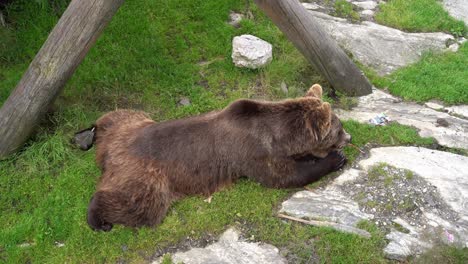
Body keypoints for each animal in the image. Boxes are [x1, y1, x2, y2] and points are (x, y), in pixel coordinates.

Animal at [85, 84, 352, 231]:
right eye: (338, 129)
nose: (348, 137)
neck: (279, 135)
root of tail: (111, 153)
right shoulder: (254, 152)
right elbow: (284, 176)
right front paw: (334, 159)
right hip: (148, 175)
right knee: (141, 206)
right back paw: (98, 218)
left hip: (132, 122)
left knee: (117, 115)